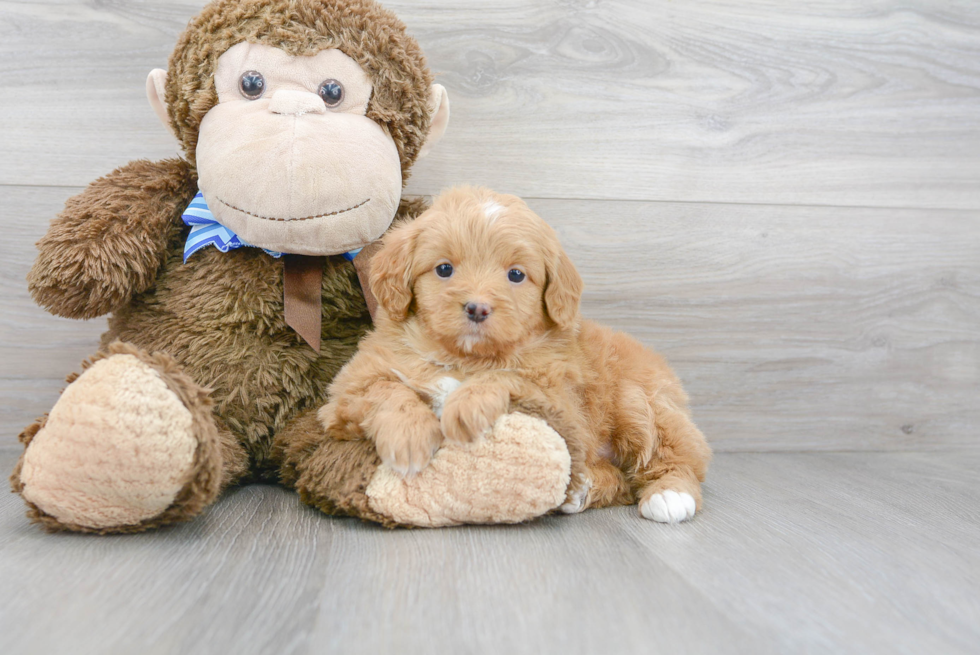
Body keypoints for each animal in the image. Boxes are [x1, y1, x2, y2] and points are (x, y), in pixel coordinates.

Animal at [322, 186, 712, 524]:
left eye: (516, 275)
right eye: (444, 268)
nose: (477, 308)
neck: (465, 358)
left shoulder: (561, 401)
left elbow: (508, 374)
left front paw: (464, 405)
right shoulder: (347, 390)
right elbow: (386, 389)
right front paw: (408, 438)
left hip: (642, 402)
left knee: (675, 458)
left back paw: (669, 495)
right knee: (621, 481)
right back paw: (581, 490)